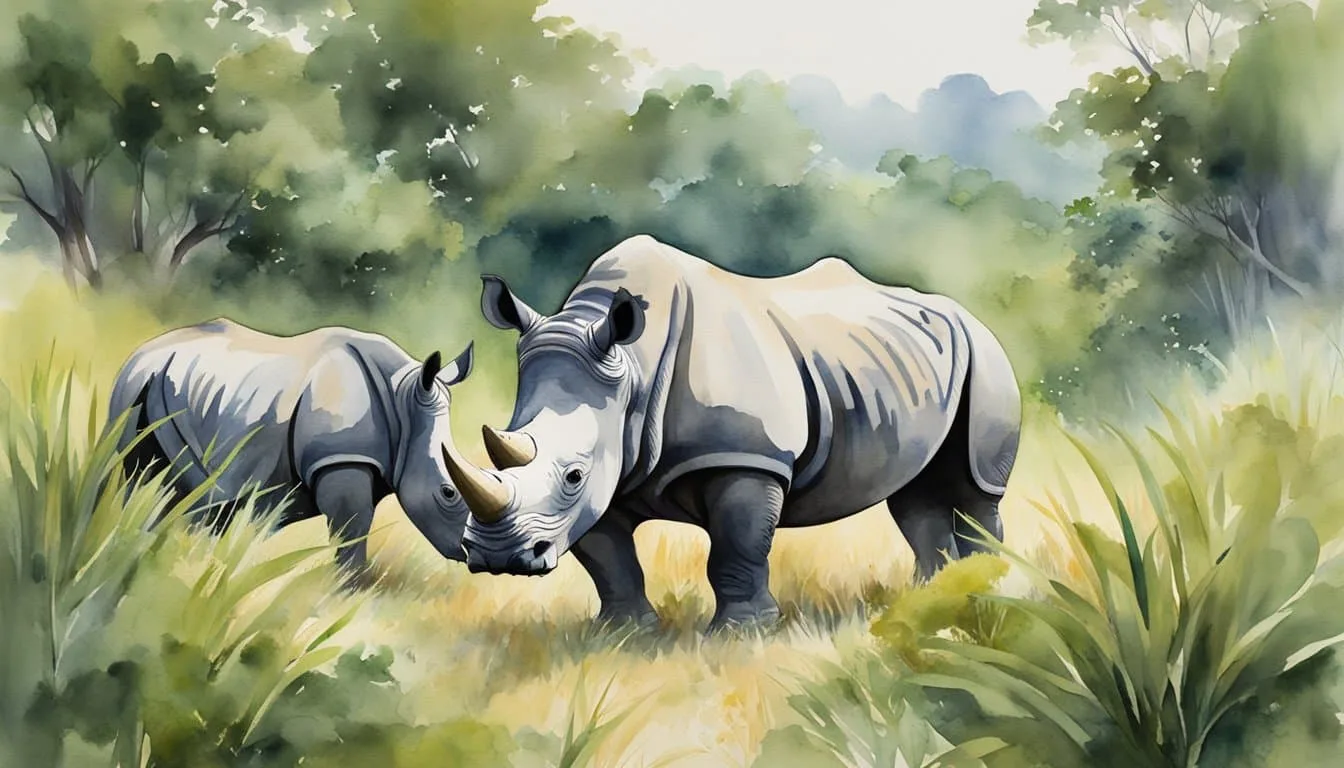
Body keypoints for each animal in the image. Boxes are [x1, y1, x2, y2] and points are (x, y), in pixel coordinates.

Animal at [107, 317, 477, 579]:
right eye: (448, 493)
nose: (478, 555)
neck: (403, 398)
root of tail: (139, 352)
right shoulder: (341, 458)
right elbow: (352, 528)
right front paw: (348, 589)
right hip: (134, 385)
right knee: (134, 472)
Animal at [444, 235, 1022, 632]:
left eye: (573, 475)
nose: (496, 558)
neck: (633, 367)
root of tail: (964, 312)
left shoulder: (745, 456)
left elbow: (736, 545)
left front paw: (742, 633)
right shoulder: (611, 471)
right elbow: (608, 559)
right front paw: (624, 633)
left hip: (987, 353)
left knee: (975, 489)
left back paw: (987, 588)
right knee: (913, 493)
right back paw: (931, 598)